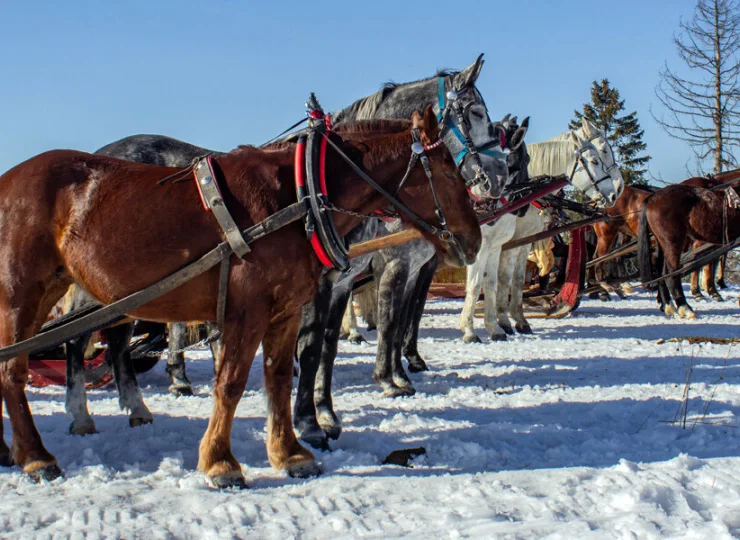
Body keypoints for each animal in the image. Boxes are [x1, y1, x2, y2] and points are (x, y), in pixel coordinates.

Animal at [0, 107, 480, 488]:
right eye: (448, 171)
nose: (474, 239)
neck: (299, 196)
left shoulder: (285, 310)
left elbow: (280, 379)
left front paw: (290, 454)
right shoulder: (246, 312)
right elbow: (230, 383)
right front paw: (220, 462)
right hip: (23, 294)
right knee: (18, 368)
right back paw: (39, 455)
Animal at [462, 118, 624, 342]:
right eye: (599, 155)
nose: (617, 190)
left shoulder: (521, 241)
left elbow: (512, 279)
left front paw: (513, 320)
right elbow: (489, 281)